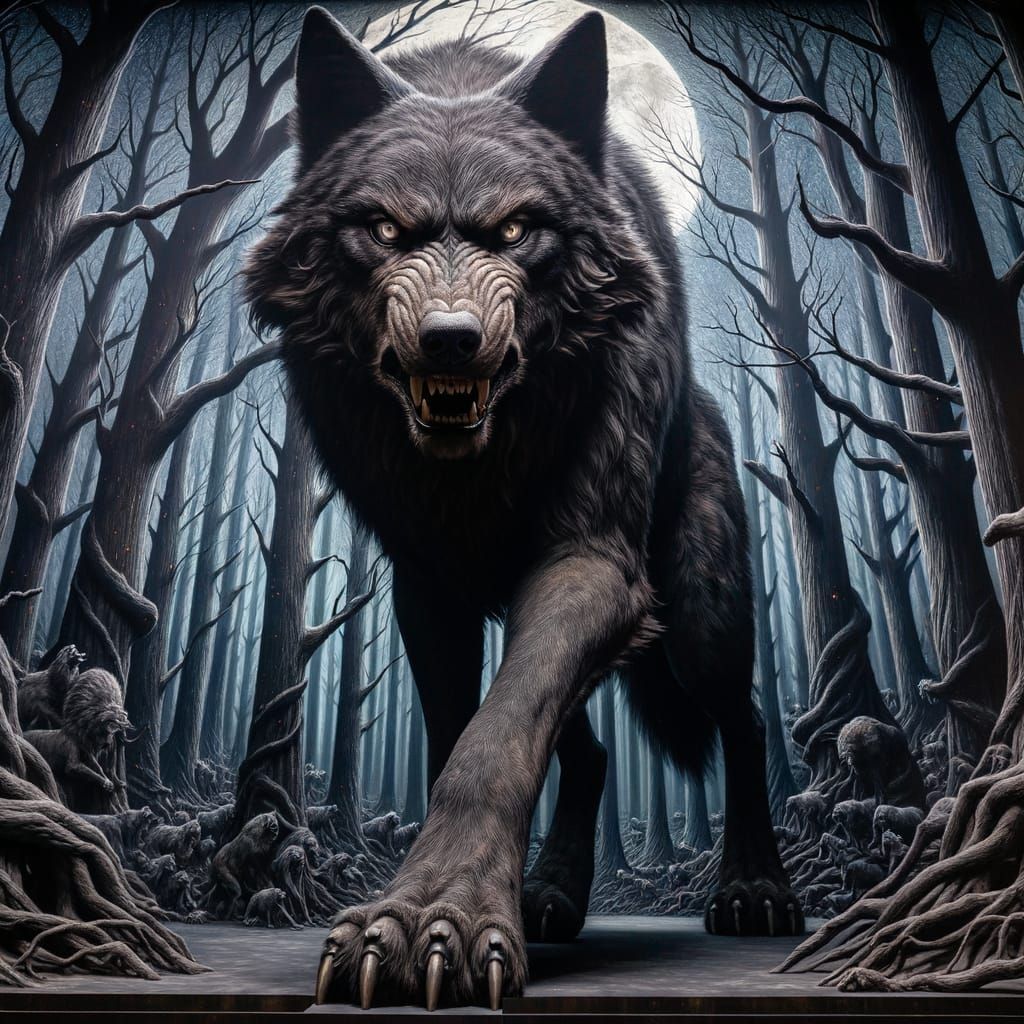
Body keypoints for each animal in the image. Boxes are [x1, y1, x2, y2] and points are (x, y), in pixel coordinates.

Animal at [245, 7, 802, 1009]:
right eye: (382, 227)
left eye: (515, 229)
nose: (450, 342)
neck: (480, 466)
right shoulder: (429, 586)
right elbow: (461, 737)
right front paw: (439, 906)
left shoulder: (589, 562)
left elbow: (496, 738)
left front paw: (439, 920)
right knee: (591, 751)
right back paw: (551, 894)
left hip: (699, 618)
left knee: (741, 724)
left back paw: (753, 889)